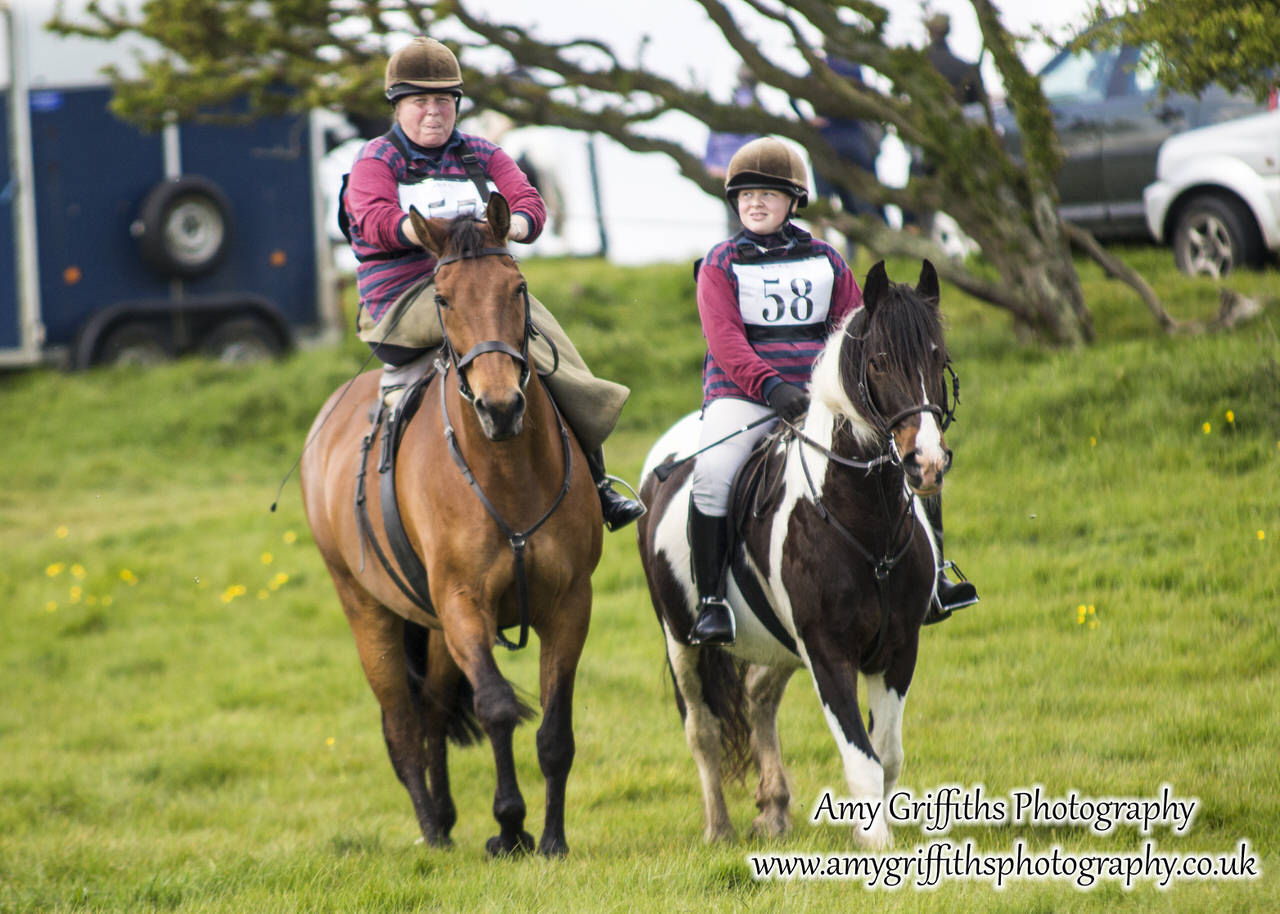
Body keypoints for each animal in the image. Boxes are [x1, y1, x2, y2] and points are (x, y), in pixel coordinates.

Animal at [300, 192, 604, 855]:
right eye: (442, 298)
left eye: (518, 288)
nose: (500, 406)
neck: (507, 473)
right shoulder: (465, 605)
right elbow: (495, 708)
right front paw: (509, 828)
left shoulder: (569, 605)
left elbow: (554, 733)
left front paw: (551, 840)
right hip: (369, 611)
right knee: (401, 721)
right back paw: (432, 832)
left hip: (434, 628)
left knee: (435, 710)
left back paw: (442, 816)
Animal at [634, 258, 957, 844]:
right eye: (878, 362)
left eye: (937, 356)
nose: (925, 463)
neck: (862, 522)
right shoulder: (828, 653)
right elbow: (861, 759)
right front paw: (875, 844)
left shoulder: (899, 649)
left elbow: (887, 754)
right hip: (681, 641)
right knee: (703, 729)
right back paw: (719, 828)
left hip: (779, 643)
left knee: (759, 697)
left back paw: (775, 809)